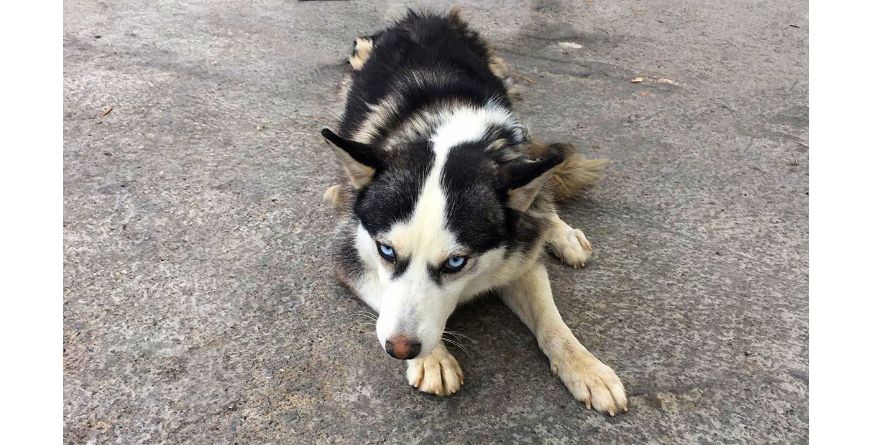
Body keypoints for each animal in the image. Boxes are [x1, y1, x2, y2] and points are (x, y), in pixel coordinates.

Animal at [322, 8, 628, 414]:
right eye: (386, 251)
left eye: (456, 263)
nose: (400, 350)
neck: (452, 133)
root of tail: (425, 16)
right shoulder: (348, 254)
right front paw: (434, 357)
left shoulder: (521, 254)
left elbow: (552, 321)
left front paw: (585, 366)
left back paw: (560, 231)